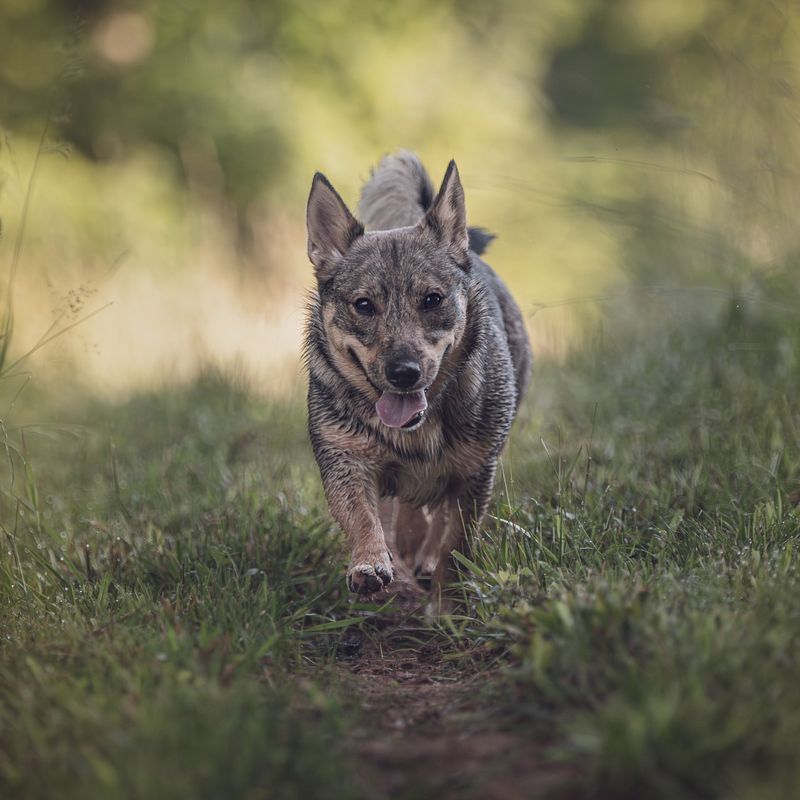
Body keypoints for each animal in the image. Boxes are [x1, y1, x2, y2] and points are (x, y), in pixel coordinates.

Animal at [304, 150, 528, 604]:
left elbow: (455, 543)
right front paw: (370, 563)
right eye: (363, 305)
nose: (404, 373)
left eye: (432, 299)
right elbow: (361, 515)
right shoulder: (344, 457)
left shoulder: (475, 472)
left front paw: (447, 602)